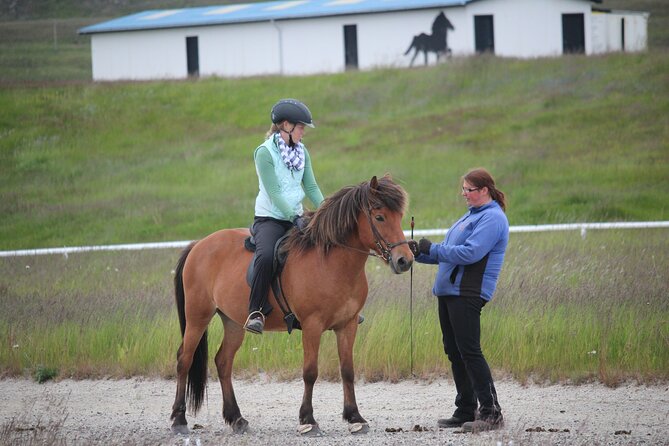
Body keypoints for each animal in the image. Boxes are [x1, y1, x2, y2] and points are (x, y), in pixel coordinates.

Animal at [168, 176, 412, 438]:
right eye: (379, 217)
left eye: (399, 216)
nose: (404, 260)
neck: (331, 262)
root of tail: (198, 244)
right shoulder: (312, 326)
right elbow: (310, 372)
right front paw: (308, 420)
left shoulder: (347, 325)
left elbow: (347, 370)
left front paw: (355, 417)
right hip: (198, 317)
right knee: (184, 359)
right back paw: (179, 420)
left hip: (232, 321)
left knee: (223, 362)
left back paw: (237, 419)